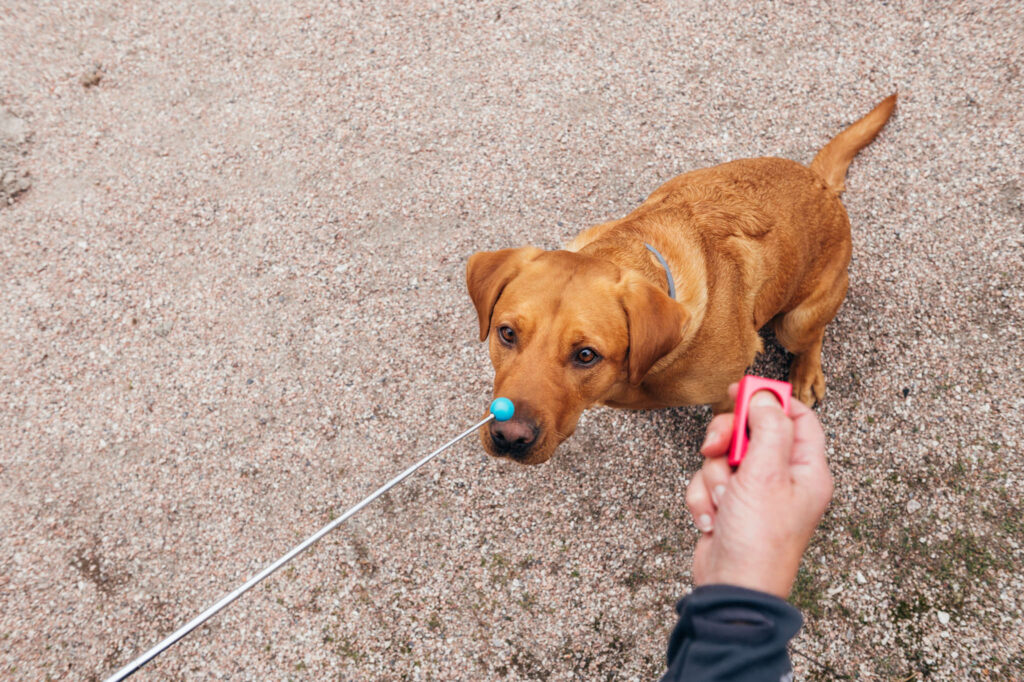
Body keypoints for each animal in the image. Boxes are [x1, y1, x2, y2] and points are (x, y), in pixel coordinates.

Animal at [466, 94, 897, 462]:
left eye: (586, 355)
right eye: (507, 333)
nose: (510, 437)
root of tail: (819, 182)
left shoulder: (728, 394)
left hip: (797, 321)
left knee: (813, 336)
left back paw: (806, 374)